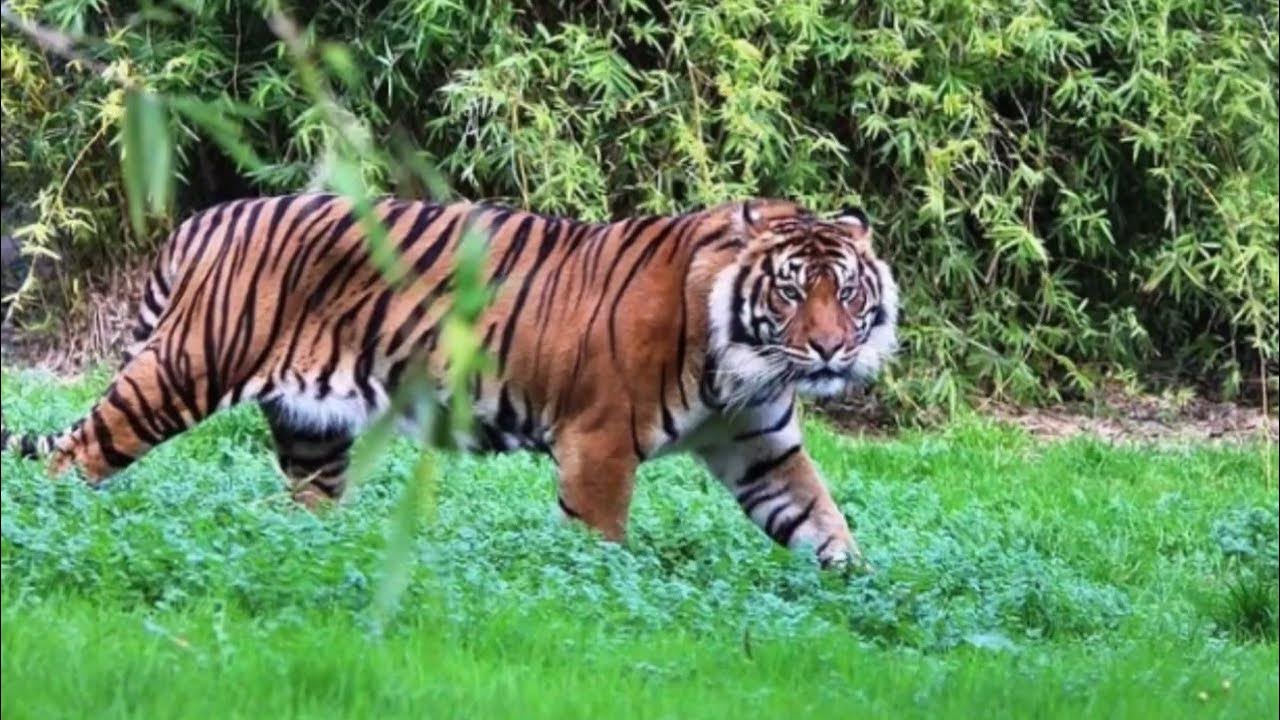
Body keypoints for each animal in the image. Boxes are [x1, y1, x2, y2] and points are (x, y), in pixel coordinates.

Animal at [1, 194, 899, 567]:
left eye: (847, 293)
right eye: (792, 291)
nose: (828, 350)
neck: (741, 364)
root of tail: (205, 217)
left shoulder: (762, 444)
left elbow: (822, 520)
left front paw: (862, 593)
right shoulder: (600, 441)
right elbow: (602, 541)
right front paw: (597, 594)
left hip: (312, 429)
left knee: (300, 510)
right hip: (182, 371)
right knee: (76, 455)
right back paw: (53, 528)